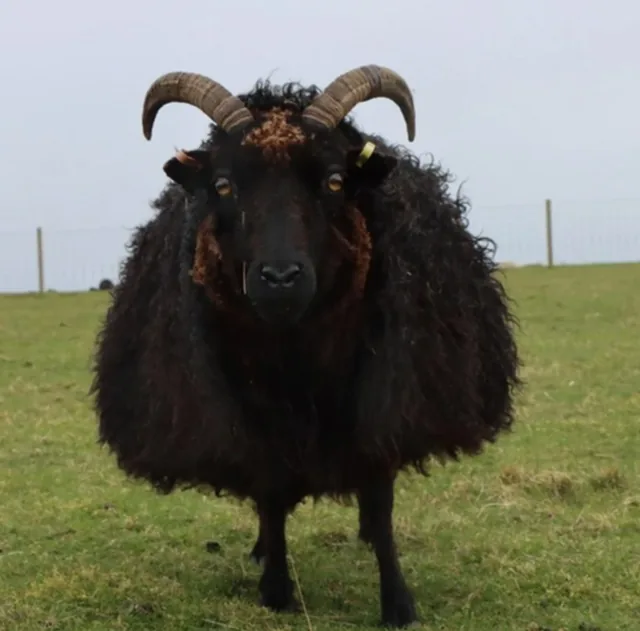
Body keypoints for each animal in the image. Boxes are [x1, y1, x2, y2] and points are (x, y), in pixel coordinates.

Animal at [90, 64, 521, 627]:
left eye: (335, 181)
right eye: (223, 185)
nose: (279, 278)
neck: (297, 351)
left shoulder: (381, 394)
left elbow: (380, 498)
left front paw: (398, 602)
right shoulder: (250, 404)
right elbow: (271, 492)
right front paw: (276, 587)